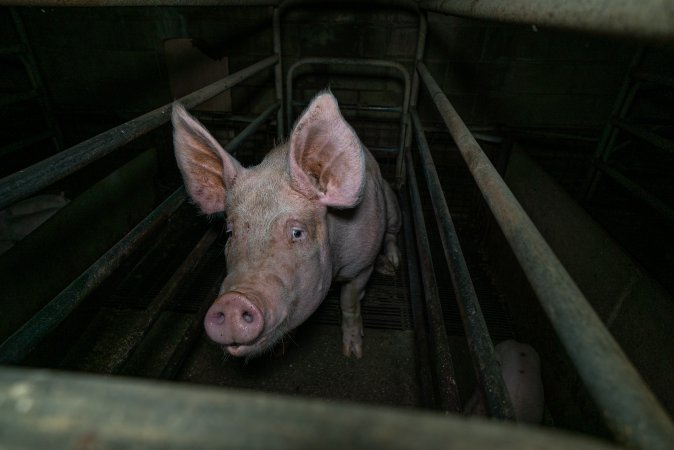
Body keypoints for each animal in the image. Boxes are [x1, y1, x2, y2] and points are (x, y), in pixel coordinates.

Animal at [172, 91, 400, 358]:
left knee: (392, 232)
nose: (232, 301)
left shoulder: (362, 266)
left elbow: (350, 301)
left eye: (297, 232)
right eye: (230, 232)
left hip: (392, 207)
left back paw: (391, 265)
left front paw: (352, 353)